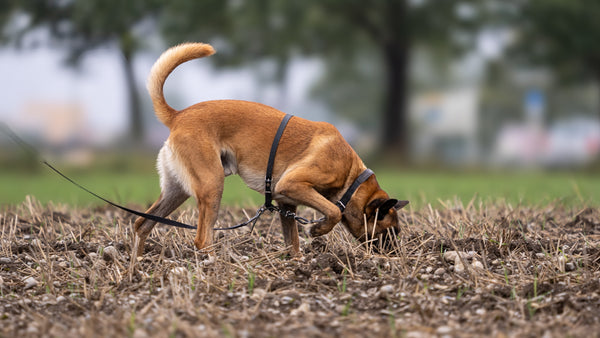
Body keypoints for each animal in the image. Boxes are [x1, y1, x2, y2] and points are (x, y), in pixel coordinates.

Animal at [133, 42, 408, 256]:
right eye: (391, 231)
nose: (397, 256)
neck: (352, 178)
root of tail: (179, 115)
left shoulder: (286, 205)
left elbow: (293, 244)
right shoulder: (293, 184)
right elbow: (333, 212)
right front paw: (316, 230)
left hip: (177, 190)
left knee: (141, 223)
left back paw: (136, 268)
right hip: (212, 185)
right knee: (202, 239)